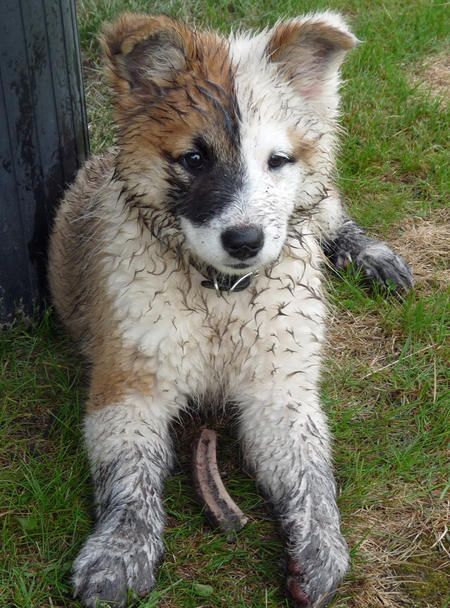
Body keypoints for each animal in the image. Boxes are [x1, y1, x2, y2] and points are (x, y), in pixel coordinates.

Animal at [48, 10, 412, 608]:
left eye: (278, 161)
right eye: (194, 159)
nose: (245, 241)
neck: (221, 296)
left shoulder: (280, 389)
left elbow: (312, 473)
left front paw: (322, 549)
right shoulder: (128, 384)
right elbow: (129, 473)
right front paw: (120, 551)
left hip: (314, 212)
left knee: (331, 210)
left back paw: (372, 256)